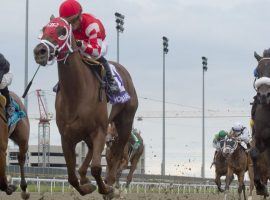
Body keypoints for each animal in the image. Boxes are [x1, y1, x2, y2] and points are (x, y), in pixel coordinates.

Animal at [33, 16, 138, 197]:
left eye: (62, 31)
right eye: (44, 28)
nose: (40, 51)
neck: (77, 92)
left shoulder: (100, 131)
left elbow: (96, 168)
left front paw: (106, 189)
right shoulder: (66, 136)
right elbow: (71, 176)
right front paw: (86, 186)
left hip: (124, 122)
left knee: (117, 153)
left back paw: (111, 182)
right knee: (90, 151)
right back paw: (85, 176)